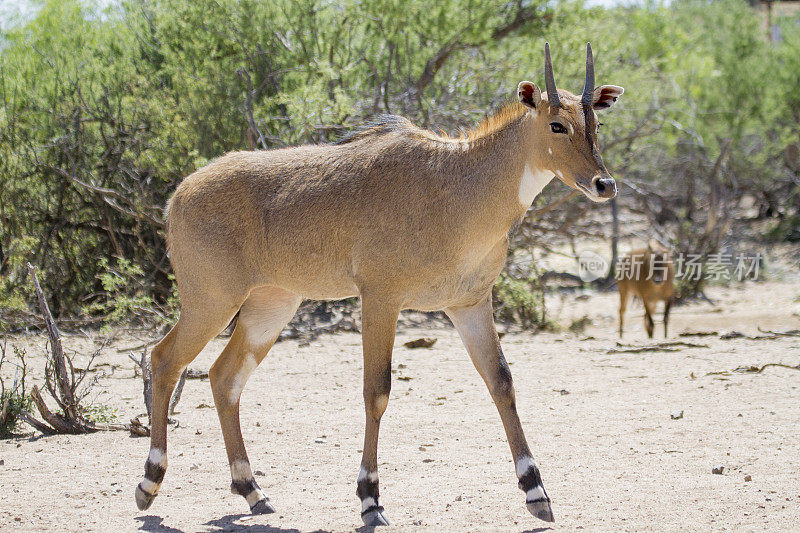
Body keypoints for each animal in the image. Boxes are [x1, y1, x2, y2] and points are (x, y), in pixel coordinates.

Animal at [136, 42, 624, 524]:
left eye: (596, 123)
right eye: (557, 124)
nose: (604, 184)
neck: (458, 184)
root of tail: (178, 194)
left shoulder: (469, 303)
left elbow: (501, 381)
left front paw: (536, 491)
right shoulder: (380, 299)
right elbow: (378, 391)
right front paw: (370, 498)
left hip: (270, 305)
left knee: (224, 376)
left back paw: (252, 490)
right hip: (211, 300)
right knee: (164, 360)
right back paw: (149, 483)